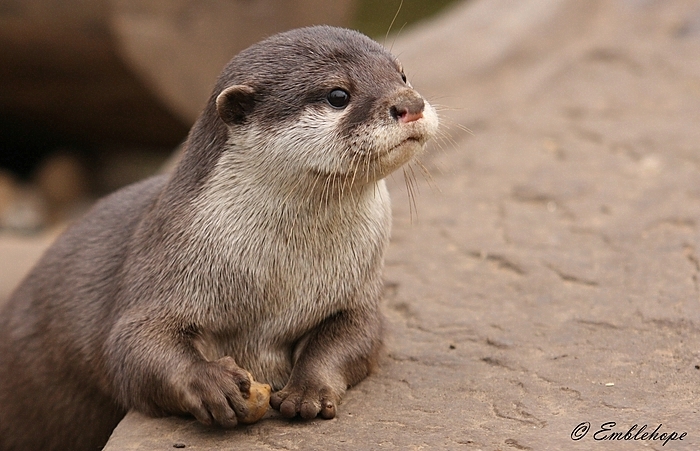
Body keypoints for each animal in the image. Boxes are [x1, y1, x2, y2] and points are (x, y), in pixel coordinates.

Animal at [0, 26, 438, 451]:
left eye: (402, 75)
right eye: (338, 95)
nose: (410, 103)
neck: (280, 283)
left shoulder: (358, 296)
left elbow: (358, 337)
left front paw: (307, 390)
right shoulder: (162, 268)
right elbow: (130, 345)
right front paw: (211, 382)